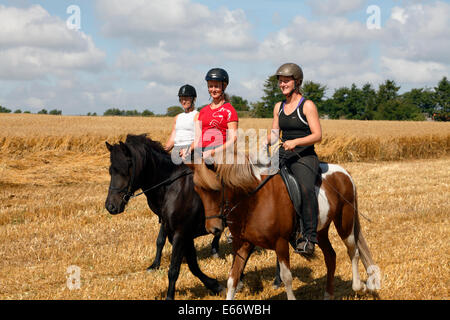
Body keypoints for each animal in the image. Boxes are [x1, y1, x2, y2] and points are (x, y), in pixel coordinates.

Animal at [188, 152, 382, 300]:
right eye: (197, 190)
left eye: (216, 190)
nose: (213, 229)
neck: (253, 200)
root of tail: (344, 173)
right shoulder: (243, 245)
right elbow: (233, 278)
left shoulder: (280, 243)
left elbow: (286, 277)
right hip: (320, 231)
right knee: (331, 256)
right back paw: (328, 295)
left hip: (345, 223)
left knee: (353, 251)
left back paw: (360, 287)